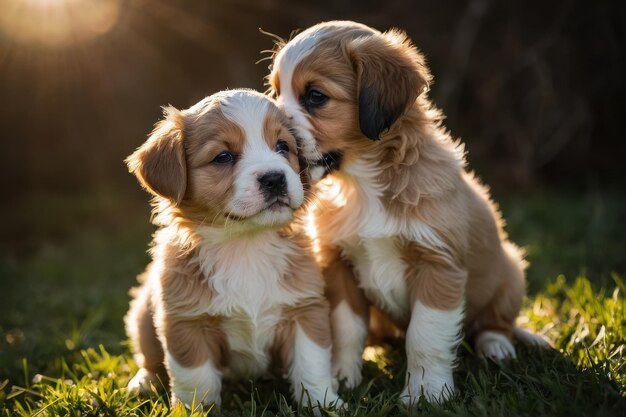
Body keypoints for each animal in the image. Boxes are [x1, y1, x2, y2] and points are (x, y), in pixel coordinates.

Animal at [123, 89, 342, 412]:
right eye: (223, 157)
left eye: (282, 146)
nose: (274, 178)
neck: (245, 245)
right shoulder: (186, 324)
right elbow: (196, 379)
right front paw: (194, 412)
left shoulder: (304, 310)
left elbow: (311, 364)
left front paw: (325, 403)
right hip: (142, 318)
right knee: (149, 359)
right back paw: (143, 382)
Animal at [268, 21, 544, 404]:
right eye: (276, 92)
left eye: (315, 96)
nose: (277, 138)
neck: (363, 185)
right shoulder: (339, 266)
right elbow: (347, 329)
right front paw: (342, 378)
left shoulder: (437, 265)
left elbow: (424, 337)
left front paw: (426, 393)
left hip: (511, 273)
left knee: (495, 323)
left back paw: (496, 346)